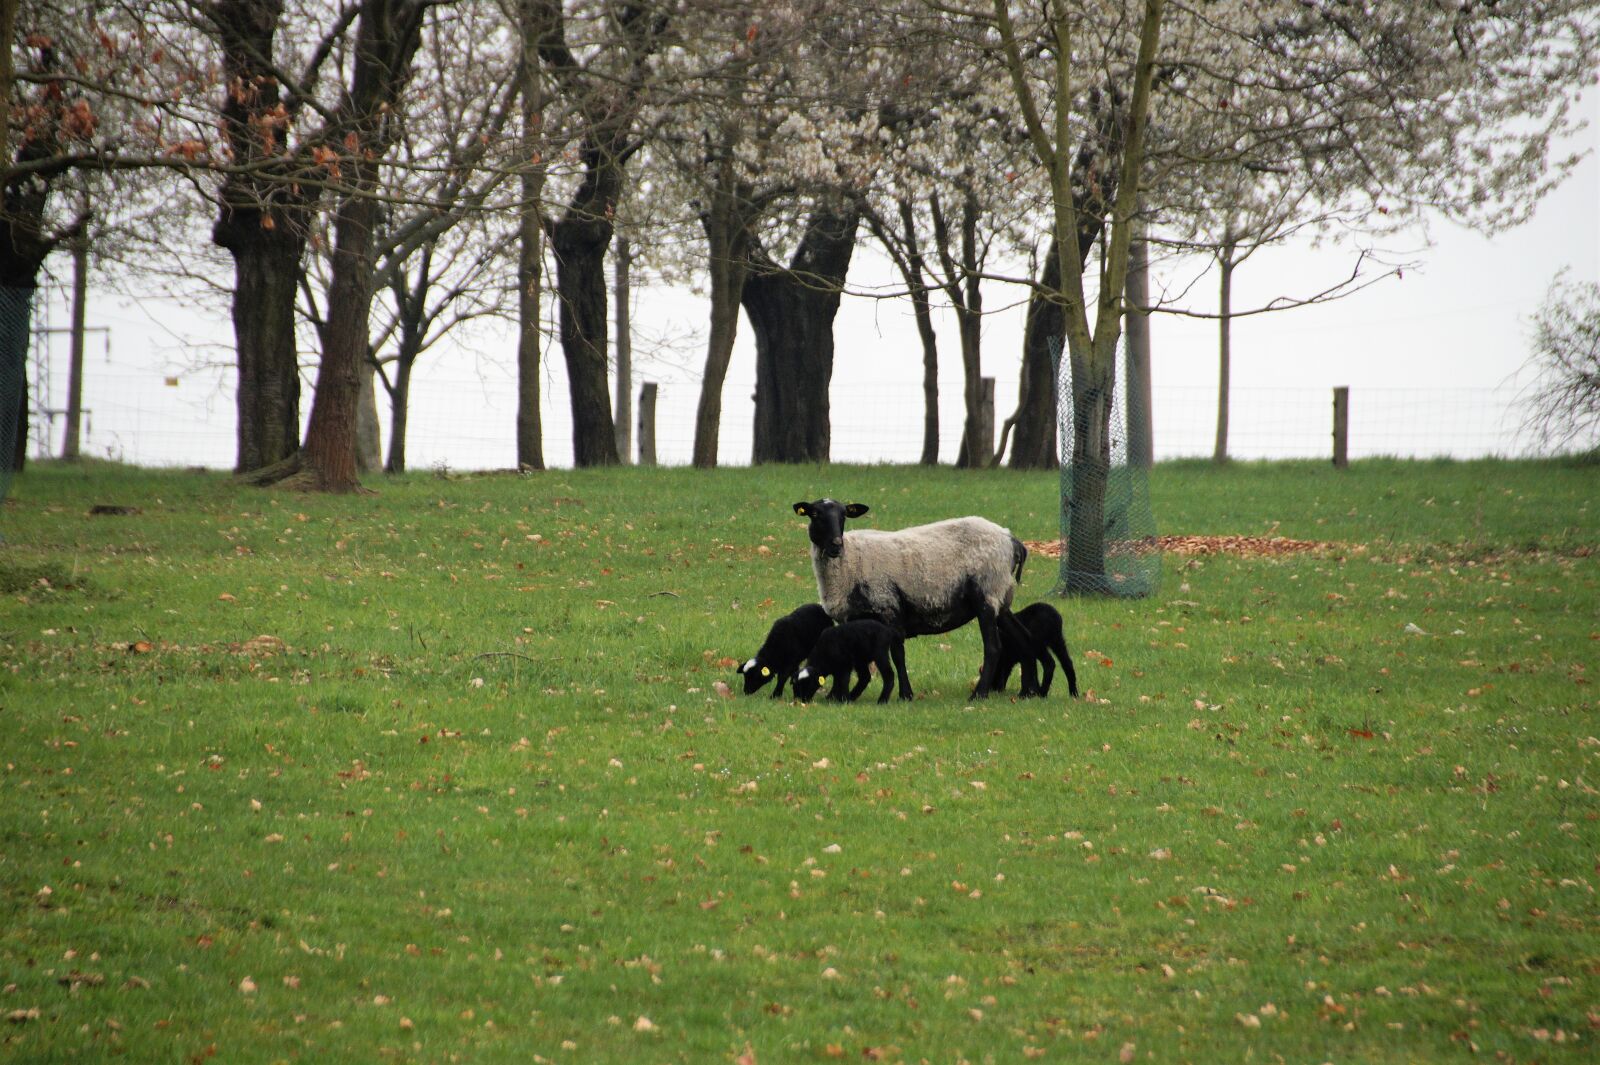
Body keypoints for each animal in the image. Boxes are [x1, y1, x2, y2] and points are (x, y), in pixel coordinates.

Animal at [791, 498, 1033, 698]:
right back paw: (1028, 691)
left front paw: (905, 694)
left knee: (993, 647)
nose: (835, 544)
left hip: (987, 593)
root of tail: (1010, 538)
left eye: (843, 515)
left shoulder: (889, 607)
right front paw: (840, 695)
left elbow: (898, 655)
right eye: (815, 514)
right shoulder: (853, 621)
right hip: (1001, 596)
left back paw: (979, 694)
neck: (849, 563)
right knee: (1023, 637)